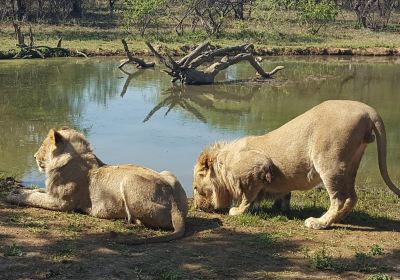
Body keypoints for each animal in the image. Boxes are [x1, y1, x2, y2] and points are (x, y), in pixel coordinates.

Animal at [5, 127, 188, 243]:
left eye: (42, 146)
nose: (34, 156)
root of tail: (174, 205)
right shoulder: (52, 193)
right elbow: (36, 190)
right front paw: (18, 189)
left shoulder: (62, 203)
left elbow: (34, 198)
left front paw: (12, 195)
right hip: (168, 173)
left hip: (128, 180)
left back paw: (127, 220)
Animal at [193, 100, 400, 230]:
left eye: (195, 188)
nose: (197, 207)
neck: (223, 162)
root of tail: (368, 110)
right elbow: (284, 194)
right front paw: (281, 208)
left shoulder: (257, 167)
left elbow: (247, 196)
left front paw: (236, 211)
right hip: (350, 164)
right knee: (352, 198)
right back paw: (335, 220)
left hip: (329, 162)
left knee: (341, 198)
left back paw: (319, 223)